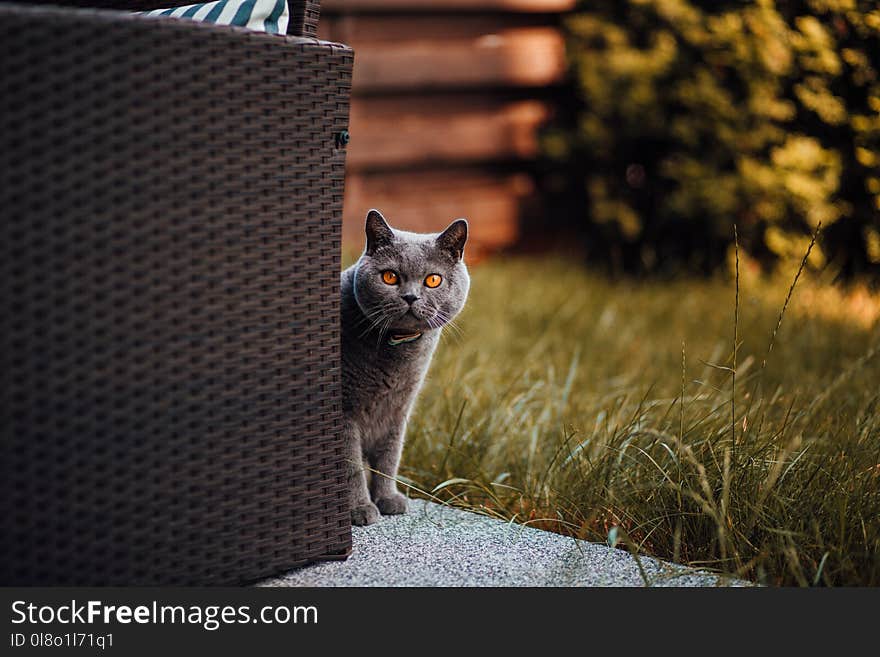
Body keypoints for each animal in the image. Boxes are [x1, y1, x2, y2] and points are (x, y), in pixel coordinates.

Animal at [340, 213, 470, 524]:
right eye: (390, 276)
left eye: (433, 280)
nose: (411, 297)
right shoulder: (345, 412)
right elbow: (352, 466)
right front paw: (361, 509)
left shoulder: (398, 410)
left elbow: (390, 458)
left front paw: (388, 498)